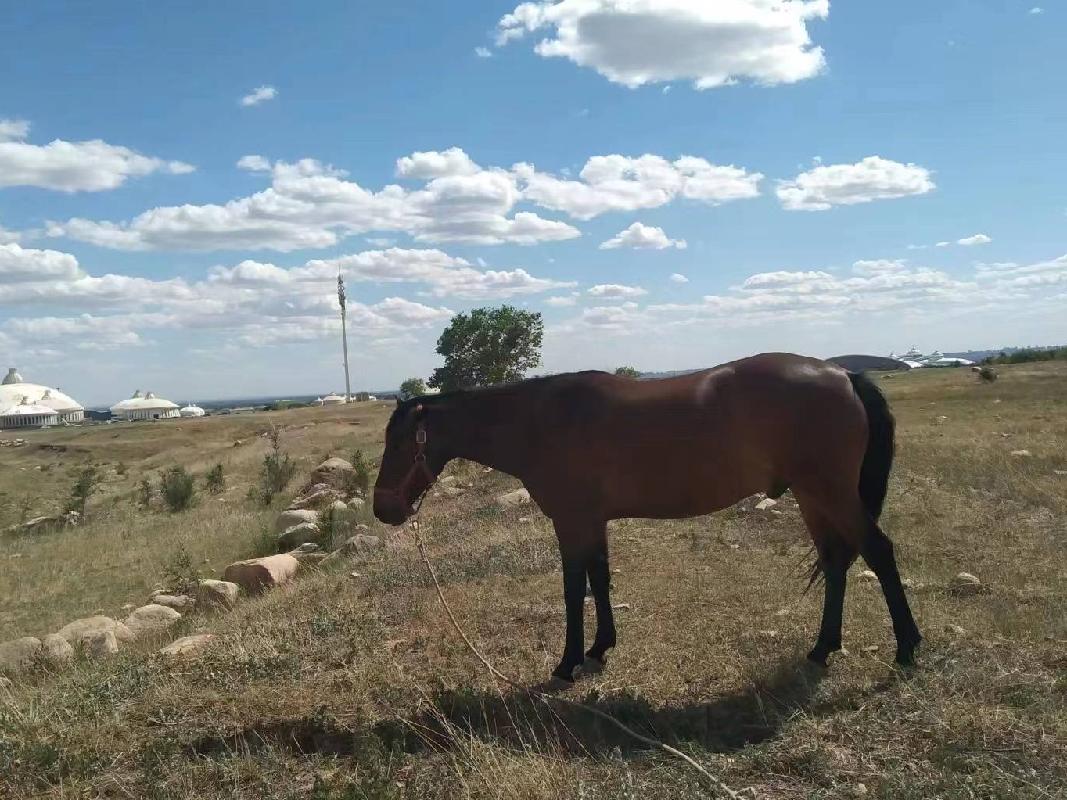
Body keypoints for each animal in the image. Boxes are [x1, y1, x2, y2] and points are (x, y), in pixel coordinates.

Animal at [373, 352, 921, 684]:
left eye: (399, 443)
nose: (384, 508)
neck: (542, 420)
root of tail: (841, 375)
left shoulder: (571, 521)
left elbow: (574, 588)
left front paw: (567, 662)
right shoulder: (592, 522)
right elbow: (600, 580)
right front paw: (599, 649)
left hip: (830, 494)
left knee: (879, 553)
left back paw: (907, 648)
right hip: (813, 498)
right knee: (835, 562)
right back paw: (823, 648)